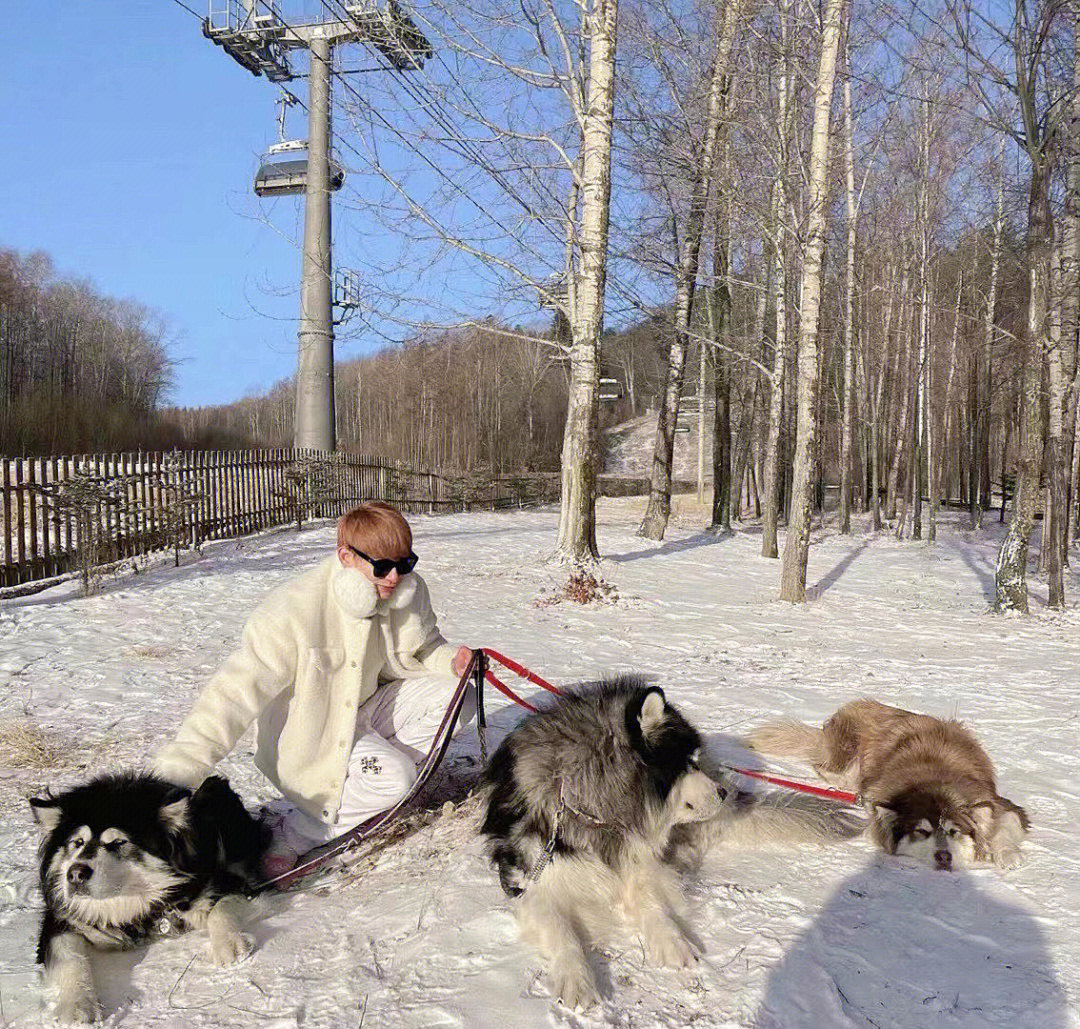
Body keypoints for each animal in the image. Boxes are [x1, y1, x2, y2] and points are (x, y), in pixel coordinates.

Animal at [30, 768, 270, 1019]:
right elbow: (69, 957)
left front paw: (229, 944)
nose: (75, 874)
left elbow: (221, 908)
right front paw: (77, 1004)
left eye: (118, 842)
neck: (133, 906)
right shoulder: (60, 920)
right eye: (77, 842)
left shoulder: (240, 886)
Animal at [479, 678, 717, 1006]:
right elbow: (561, 931)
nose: (724, 793)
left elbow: (653, 904)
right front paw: (575, 978)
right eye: (690, 764)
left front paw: (672, 940)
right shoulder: (532, 880)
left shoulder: (633, 861)